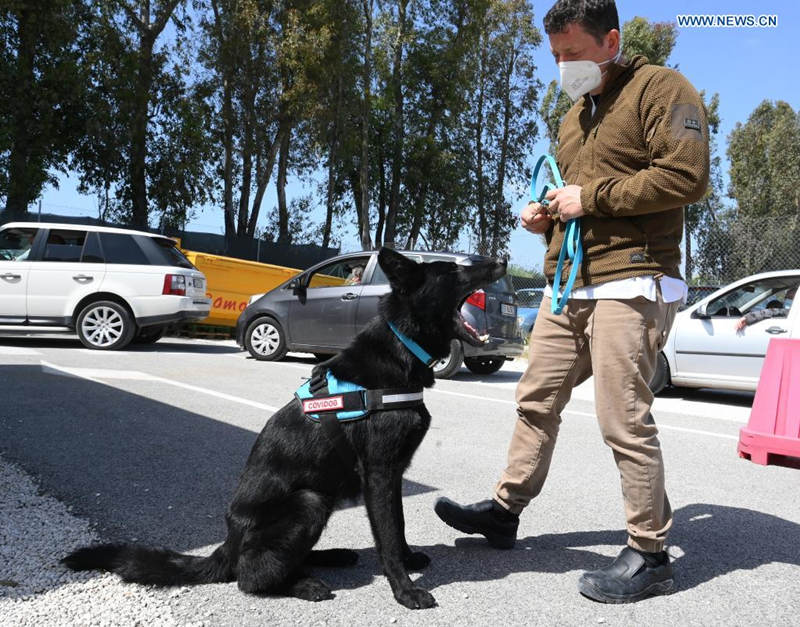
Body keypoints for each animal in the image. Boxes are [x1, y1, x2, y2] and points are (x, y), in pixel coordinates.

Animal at [67, 248, 506, 612]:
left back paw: (331, 557)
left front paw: (410, 558)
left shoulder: (393, 473)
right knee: (249, 578)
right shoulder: (380, 472)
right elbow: (387, 534)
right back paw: (303, 584)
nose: (502, 259)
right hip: (309, 502)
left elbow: (396, 527)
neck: (402, 346)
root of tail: (227, 546)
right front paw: (404, 589)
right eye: (454, 271)